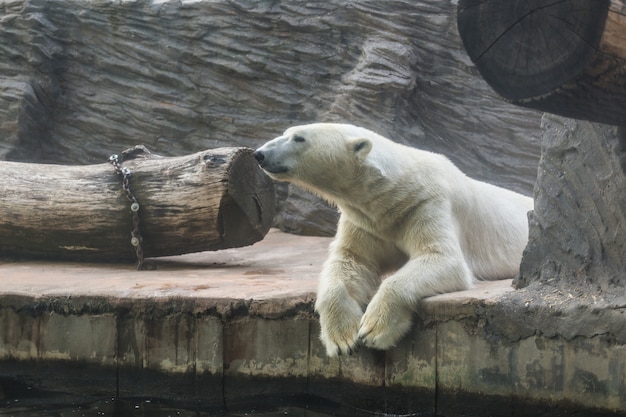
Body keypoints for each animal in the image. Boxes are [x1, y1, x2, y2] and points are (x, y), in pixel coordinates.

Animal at [254, 123, 532, 358]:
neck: (394, 191)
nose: (260, 154)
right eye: (286, 132)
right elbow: (351, 260)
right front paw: (342, 338)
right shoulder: (366, 222)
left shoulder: (427, 204)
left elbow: (442, 257)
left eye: (299, 138)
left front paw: (374, 330)